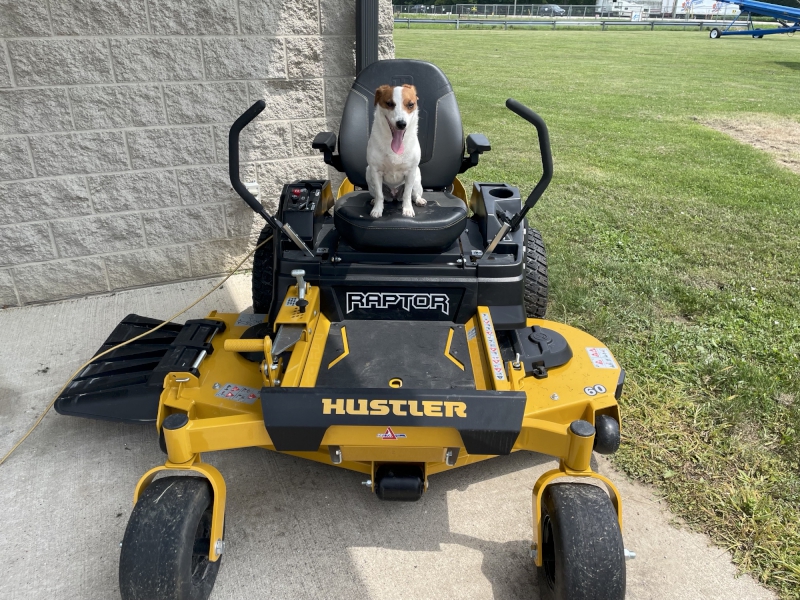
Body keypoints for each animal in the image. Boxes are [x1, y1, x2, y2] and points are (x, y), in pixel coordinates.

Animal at [366, 83, 424, 217]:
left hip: (417, 177)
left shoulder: (411, 172)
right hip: (368, 172)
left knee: (414, 194)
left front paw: (407, 209)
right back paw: (374, 200)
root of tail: (394, 195)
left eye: (410, 104)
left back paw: (419, 200)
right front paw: (377, 209)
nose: (401, 124)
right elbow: (379, 195)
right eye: (389, 103)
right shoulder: (375, 171)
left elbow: (407, 194)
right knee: (379, 195)